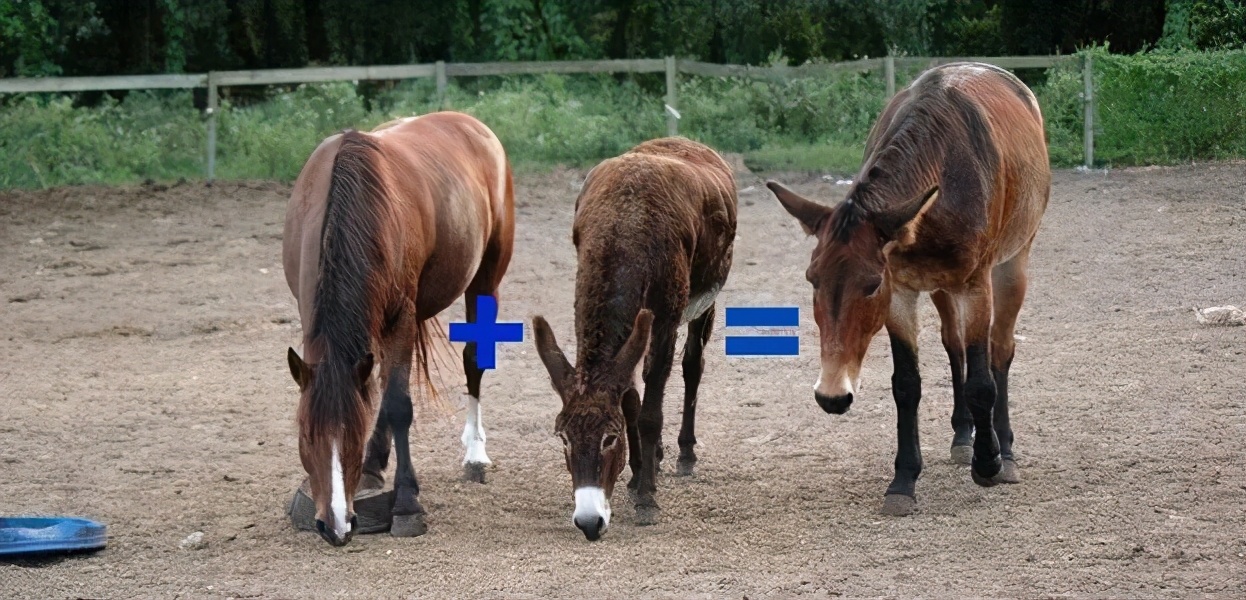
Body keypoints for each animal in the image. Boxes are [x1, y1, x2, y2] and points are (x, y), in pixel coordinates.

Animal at [285, 110, 513, 545]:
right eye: (305, 436)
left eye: (351, 436)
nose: (335, 526)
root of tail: (470, 123)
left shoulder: (400, 318)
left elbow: (397, 405)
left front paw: (407, 505)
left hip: (484, 279)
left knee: (473, 359)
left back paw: (475, 455)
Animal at [530, 138, 732, 540]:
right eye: (563, 437)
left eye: (610, 438)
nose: (589, 522)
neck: (622, 227)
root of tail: (685, 142)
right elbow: (630, 399)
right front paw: (639, 473)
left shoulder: (667, 315)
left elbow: (651, 411)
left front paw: (647, 498)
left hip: (705, 298)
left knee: (692, 365)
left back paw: (685, 453)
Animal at [767, 63, 1051, 517]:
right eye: (812, 279)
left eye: (870, 286)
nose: (832, 396)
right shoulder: (901, 291)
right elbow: (907, 384)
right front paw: (903, 480)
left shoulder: (974, 285)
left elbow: (982, 381)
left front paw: (987, 463)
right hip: (940, 286)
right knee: (954, 345)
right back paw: (962, 435)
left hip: (1012, 264)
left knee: (1000, 349)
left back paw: (1004, 451)